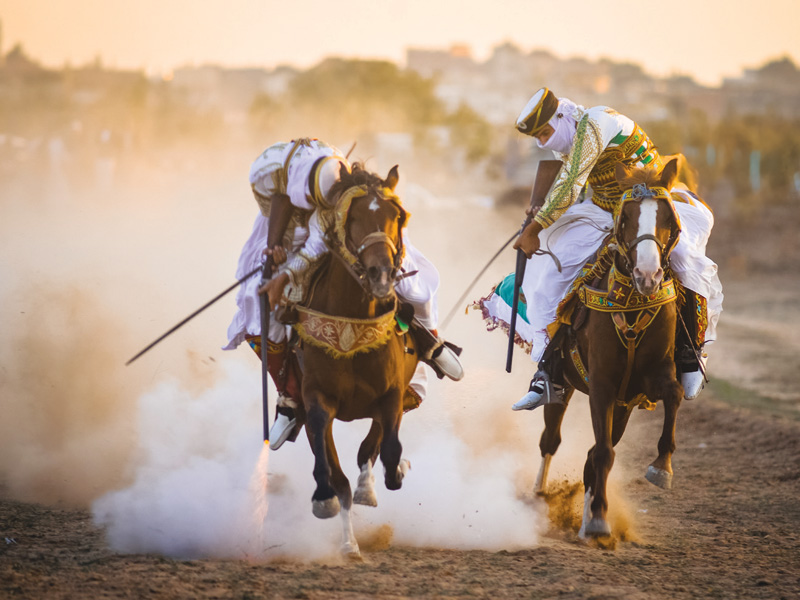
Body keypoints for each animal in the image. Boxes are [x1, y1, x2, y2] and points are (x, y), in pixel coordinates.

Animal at [290, 163, 422, 556]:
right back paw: (348, 539)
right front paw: (324, 498)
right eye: (353, 218)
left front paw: (390, 476)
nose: (382, 274)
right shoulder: (316, 396)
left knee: (372, 447)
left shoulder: (392, 393)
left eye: (397, 216)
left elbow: (388, 448)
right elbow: (328, 459)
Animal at [536, 156, 684, 540]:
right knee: (551, 439)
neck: (631, 304)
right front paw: (600, 519)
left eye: (667, 218)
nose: (648, 275)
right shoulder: (601, 384)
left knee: (596, 449)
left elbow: (674, 393)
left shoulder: (648, 380)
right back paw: (540, 495)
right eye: (626, 216)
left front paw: (662, 467)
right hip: (564, 385)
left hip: (623, 405)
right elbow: (601, 452)